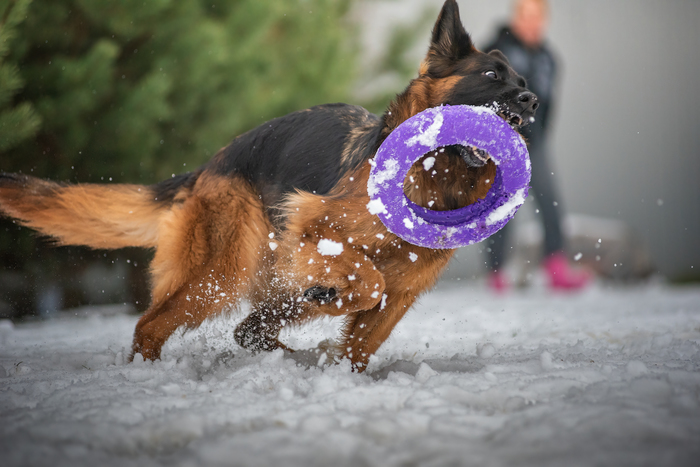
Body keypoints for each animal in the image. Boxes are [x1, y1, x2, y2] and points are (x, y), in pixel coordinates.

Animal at [0, 0, 540, 372]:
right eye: (491, 74)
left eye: (521, 80)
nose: (533, 100)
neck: (434, 177)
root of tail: (209, 165)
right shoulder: (316, 226)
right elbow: (368, 283)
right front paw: (333, 303)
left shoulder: (402, 292)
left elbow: (361, 337)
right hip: (220, 273)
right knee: (152, 325)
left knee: (249, 330)